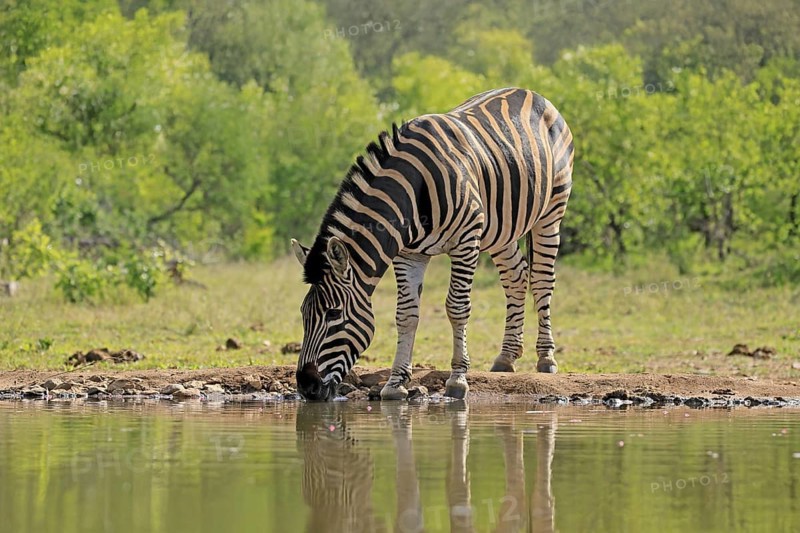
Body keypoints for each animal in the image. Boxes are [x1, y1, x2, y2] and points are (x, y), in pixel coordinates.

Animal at [292, 87, 574, 401]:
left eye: (334, 314)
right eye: (304, 314)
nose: (306, 386)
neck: (412, 193)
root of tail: (528, 92)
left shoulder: (465, 241)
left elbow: (457, 307)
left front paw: (458, 379)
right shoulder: (408, 254)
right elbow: (406, 315)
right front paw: (395, 383)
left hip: (551, 212)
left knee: (541, 281)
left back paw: (546, 358)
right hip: (503, 229)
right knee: (516, 277)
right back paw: (506, 357)